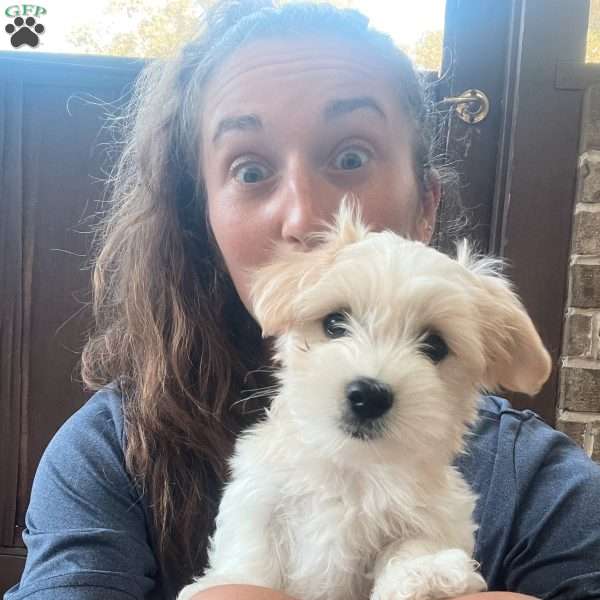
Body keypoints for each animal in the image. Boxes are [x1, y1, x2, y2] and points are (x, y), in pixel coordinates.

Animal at [177, 202, 548, 600]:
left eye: (435, 346)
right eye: (334, 323)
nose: (369, 395)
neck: (353, 467)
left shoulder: (436, 513)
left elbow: (415, 540)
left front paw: (422, 574)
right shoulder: (261, 497)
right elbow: (254, 552)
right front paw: (233, 578)